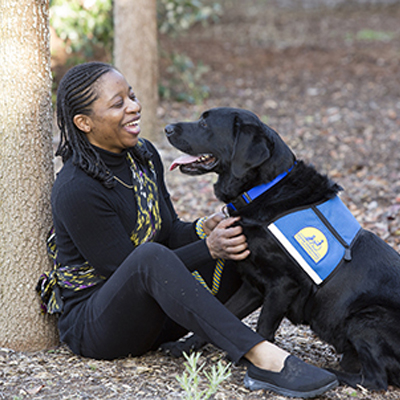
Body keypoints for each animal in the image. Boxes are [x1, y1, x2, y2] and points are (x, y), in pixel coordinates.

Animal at [164, 107, 400, 390]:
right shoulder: (253, 284)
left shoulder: (283, 286)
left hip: (367, 318)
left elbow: (263, 328)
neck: (262, 190)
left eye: (204, 123)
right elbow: (220, 316)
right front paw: (183, 347)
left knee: (375, 380)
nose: (166, 128)